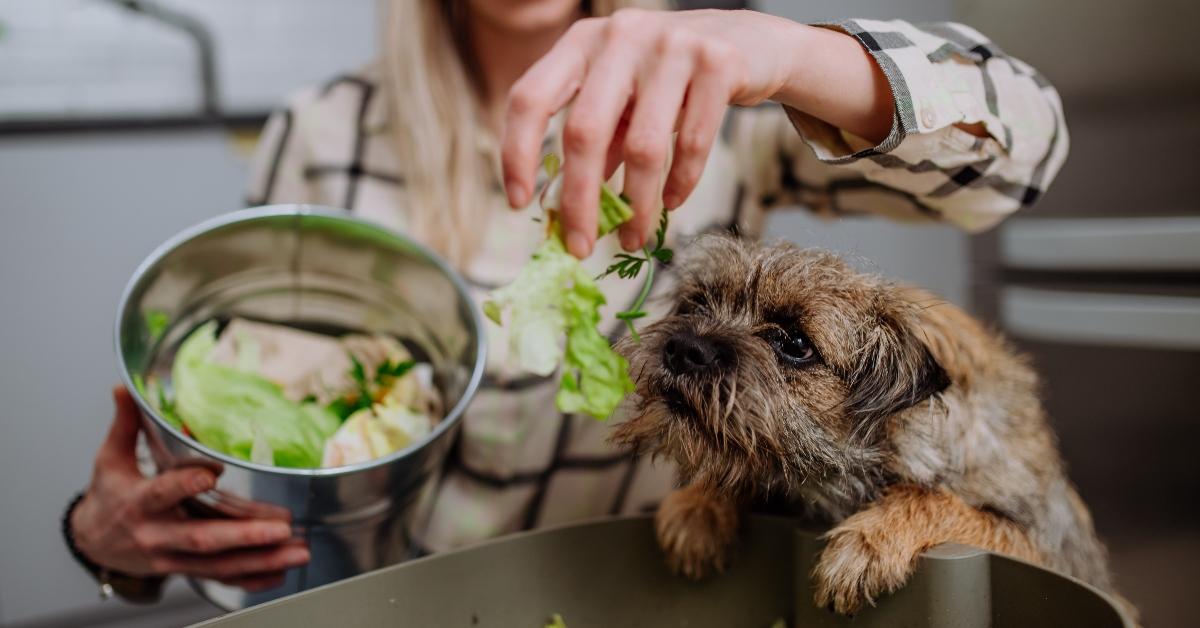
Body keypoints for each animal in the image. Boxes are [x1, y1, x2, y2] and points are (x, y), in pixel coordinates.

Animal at [614, 235, 1128, 614]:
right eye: (696, 304)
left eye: (794, 343)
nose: (684, 348)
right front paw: (697, 508)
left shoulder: (1041, 546)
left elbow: (936, 499)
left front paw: (868, 542)